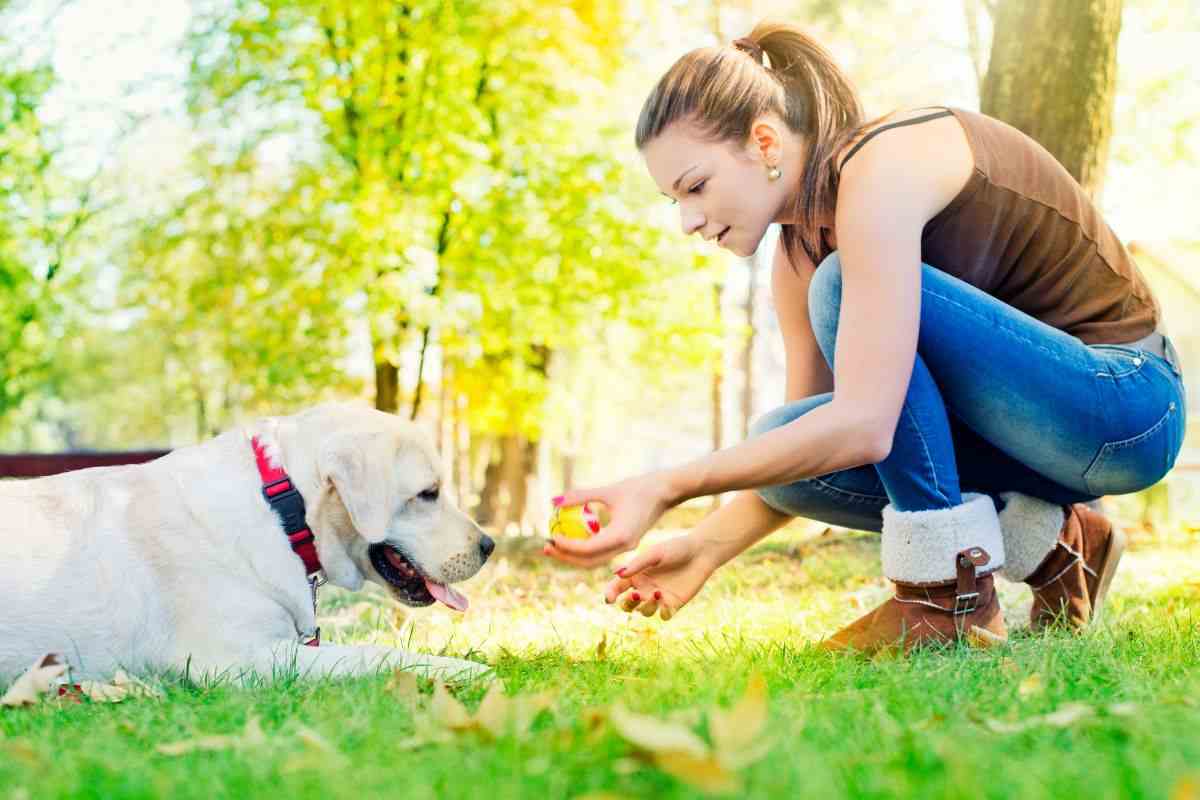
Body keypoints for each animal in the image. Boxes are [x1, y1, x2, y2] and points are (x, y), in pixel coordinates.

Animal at [0, 402, 494, 686]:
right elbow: (373, 654)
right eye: (428, 493)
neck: (284, 510)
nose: (489, 546)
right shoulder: (237, 658)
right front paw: (466, 670)